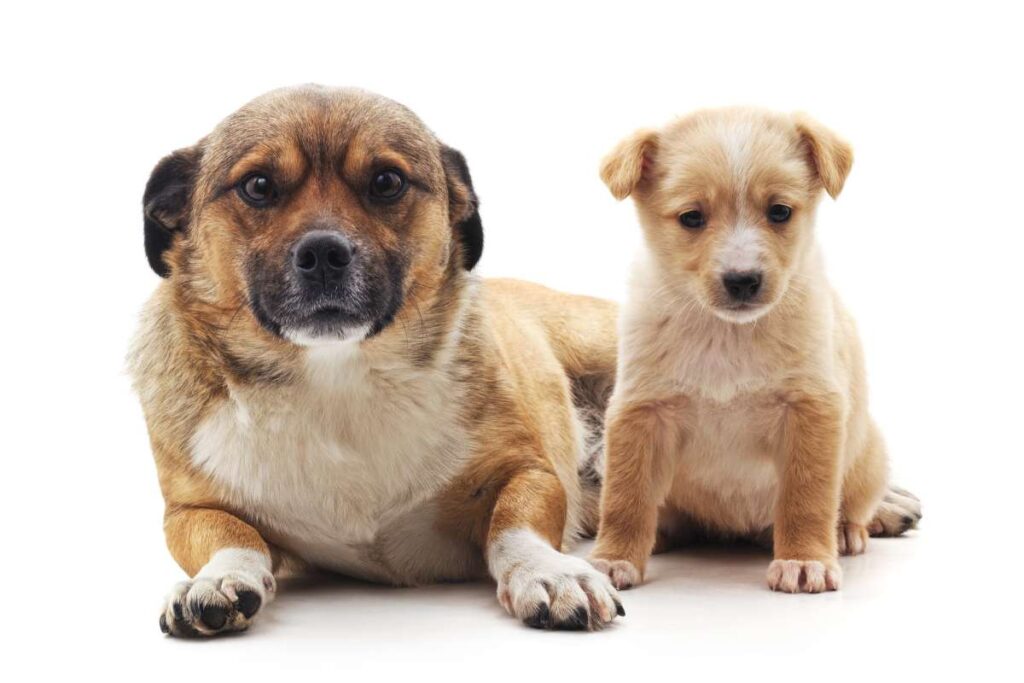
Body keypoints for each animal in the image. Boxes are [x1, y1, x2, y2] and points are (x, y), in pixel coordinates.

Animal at [128, 85, 622, 634]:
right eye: (258, 186)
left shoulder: (529, 471)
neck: (336, 377)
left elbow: (515, 521)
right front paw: (217, 578)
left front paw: (549, 571)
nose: (324, 254)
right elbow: (231, 535)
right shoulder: (189, 510)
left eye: (387, 182)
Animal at [593, 107, 921, 593]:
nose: (743, 280)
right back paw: (664, 534)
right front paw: (613, 558)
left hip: (868, 457)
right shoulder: (640, 411)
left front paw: (804, 560)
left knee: (851, 502)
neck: (728, 335)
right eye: (692, 218)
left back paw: (845, 531)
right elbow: (624, 495)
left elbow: (806, 496)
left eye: (779, 211)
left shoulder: (811, 408)